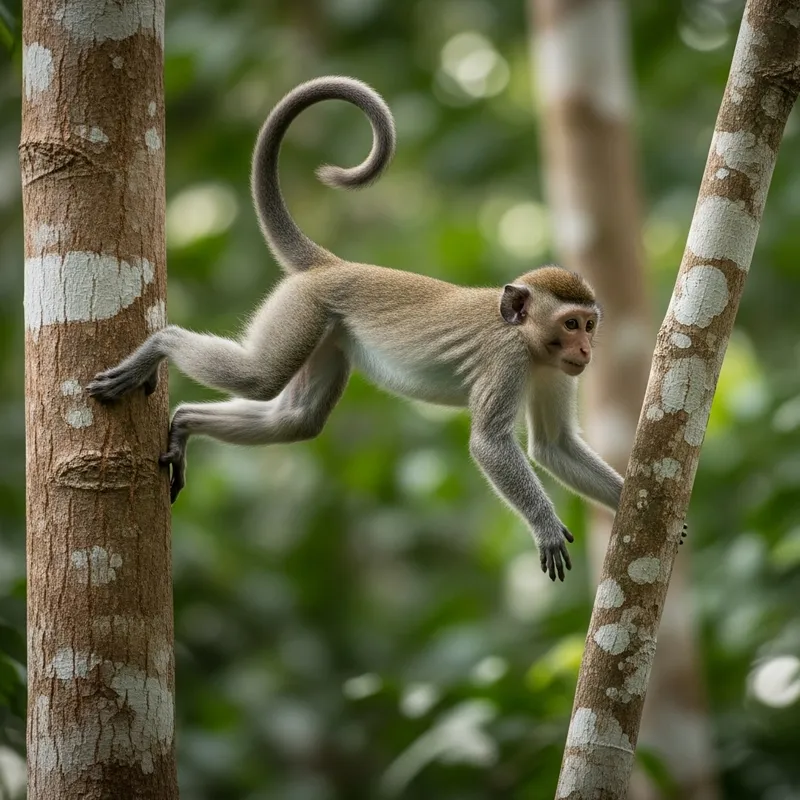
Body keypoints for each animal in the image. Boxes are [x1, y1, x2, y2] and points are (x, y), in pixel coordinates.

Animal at [88, 76, 630, 582]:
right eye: (570, 323)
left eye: (589, 325)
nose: (586, 349)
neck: (528, 342)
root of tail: (333, 266)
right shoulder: (508, 360)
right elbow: (490, 446)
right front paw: (544, 524)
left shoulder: (555, 372)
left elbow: (554, 447)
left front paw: (633, 499)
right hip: (302, 308)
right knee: (260, 377)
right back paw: (160, 344)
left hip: (326, 334)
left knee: (297, 419)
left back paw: (184, 422)